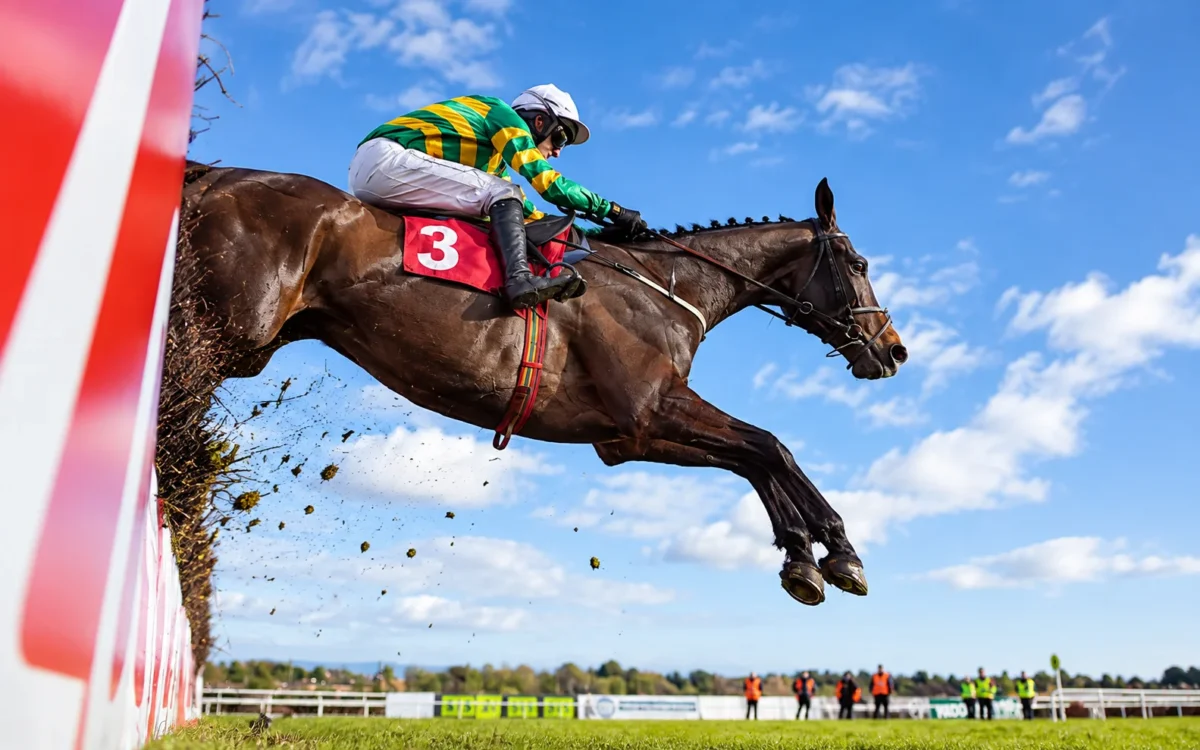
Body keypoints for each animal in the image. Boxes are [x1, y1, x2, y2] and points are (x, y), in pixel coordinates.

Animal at [180, 163, 907, 606]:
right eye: (859, 262)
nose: (893, 350)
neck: (666, 287)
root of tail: (217, 175)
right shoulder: (650, 408)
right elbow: (770, 446)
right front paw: (837, 552)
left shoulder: (626, 437)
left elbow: (757, 458)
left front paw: (805, 558)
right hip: (223, 334)